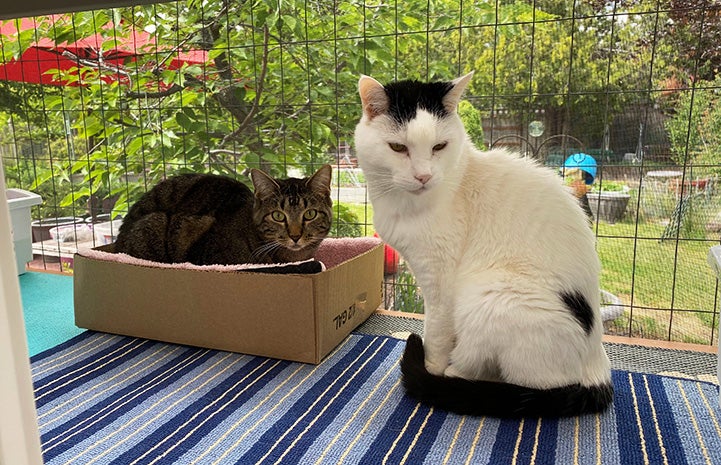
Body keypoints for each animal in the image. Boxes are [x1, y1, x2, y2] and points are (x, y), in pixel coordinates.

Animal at [352, 73, 612, 416]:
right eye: (398, 147)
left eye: (439, 146)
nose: (424, 176)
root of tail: (598, 371)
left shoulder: (440, 281)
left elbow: (436, 331)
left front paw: (432, 366)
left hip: (487, 296)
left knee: (511, 376)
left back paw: (453, 376)